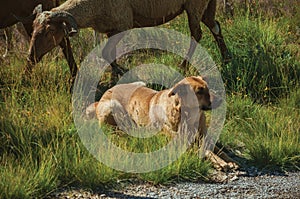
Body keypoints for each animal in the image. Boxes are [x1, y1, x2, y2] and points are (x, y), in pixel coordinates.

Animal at [28, 0, 232, 80]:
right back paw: (226, 58)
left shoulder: (123, 23)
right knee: (215, 26)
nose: (30, 57)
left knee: (196, 34)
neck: (91, 7)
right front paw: (115, 76)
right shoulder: (110, 29)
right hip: (207, 5)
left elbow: (106, 53)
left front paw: (122, 71)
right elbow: (109, 54)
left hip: (194, 5)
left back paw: (183, 66)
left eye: (48, 31)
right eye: (33, 28)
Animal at [85, 76, 238, 171]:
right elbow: (204, 150)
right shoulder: (179, 140)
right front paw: (219, 163)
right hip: (113, 106)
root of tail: (104, 94)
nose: (221, 99)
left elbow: (216, 148)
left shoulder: (202, 136)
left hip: (140, 83)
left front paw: (229, 160)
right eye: (199, 91)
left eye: (207, 88)